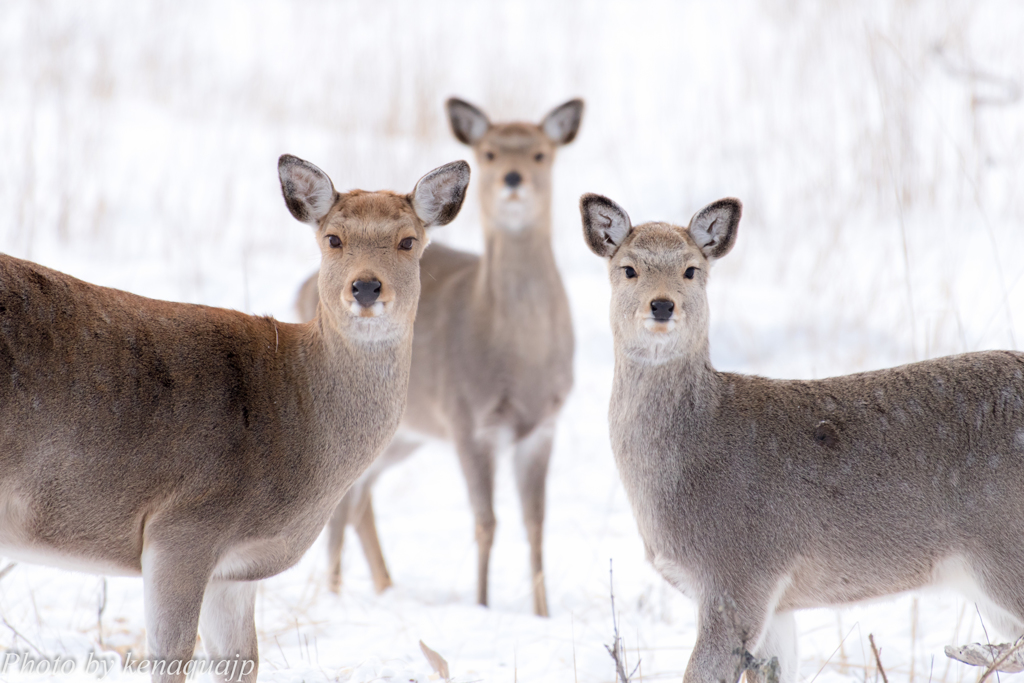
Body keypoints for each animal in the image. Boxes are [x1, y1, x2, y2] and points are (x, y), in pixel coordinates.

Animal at [0, 156, 468, 683]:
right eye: (333, 238)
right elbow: (172, 657)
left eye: (408, 241)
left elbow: (241, 659)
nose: (366, 286)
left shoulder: (236, 570)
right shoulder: (182, 525)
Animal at [296, 97, 585, 618]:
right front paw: (483, 605)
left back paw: (383, 586)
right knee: (346, 499)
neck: (518, 355)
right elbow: (486, 521)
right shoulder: (467, 417)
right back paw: (337, 592)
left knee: (360, 497)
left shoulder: (544, 425)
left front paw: (543, 613)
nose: (513, 178)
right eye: (489, 152)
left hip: (404, 435)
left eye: (541, 153)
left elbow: (536, 524)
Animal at [581, 192, 1024, 683]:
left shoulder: (738, 571)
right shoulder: (776, 604)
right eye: (628, 269)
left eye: (691, 269)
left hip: (1005, 550)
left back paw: (972, 650)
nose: (662, 305)